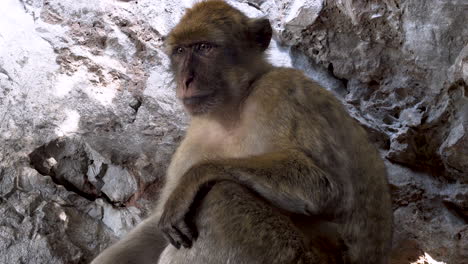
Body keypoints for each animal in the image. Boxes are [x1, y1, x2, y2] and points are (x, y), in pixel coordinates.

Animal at [90, 0, 392, 264]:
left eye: (204, 47)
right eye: (181, 51)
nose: (186, 80)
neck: (233, 109)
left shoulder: (282, 91)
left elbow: (325, 188)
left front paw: (194, 178)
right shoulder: (196, 136)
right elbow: (160, 224)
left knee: (222, 197)